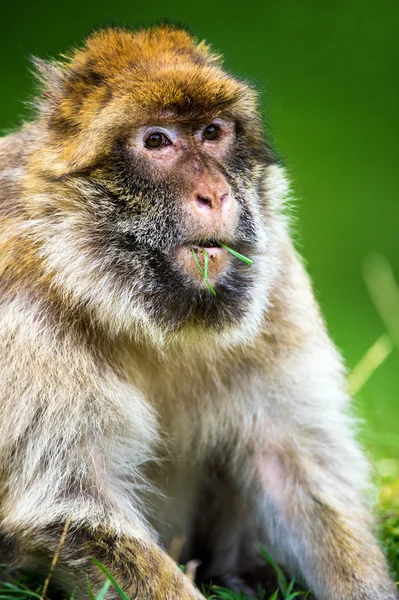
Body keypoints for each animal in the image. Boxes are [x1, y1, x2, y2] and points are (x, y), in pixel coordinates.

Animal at [0, 25, 396, 600]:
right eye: (156, 141)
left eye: (212, 132)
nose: (215, 193)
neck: (143, 317)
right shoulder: (23, 313)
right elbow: (72, 506)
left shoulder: (276, 286)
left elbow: (299, 472)